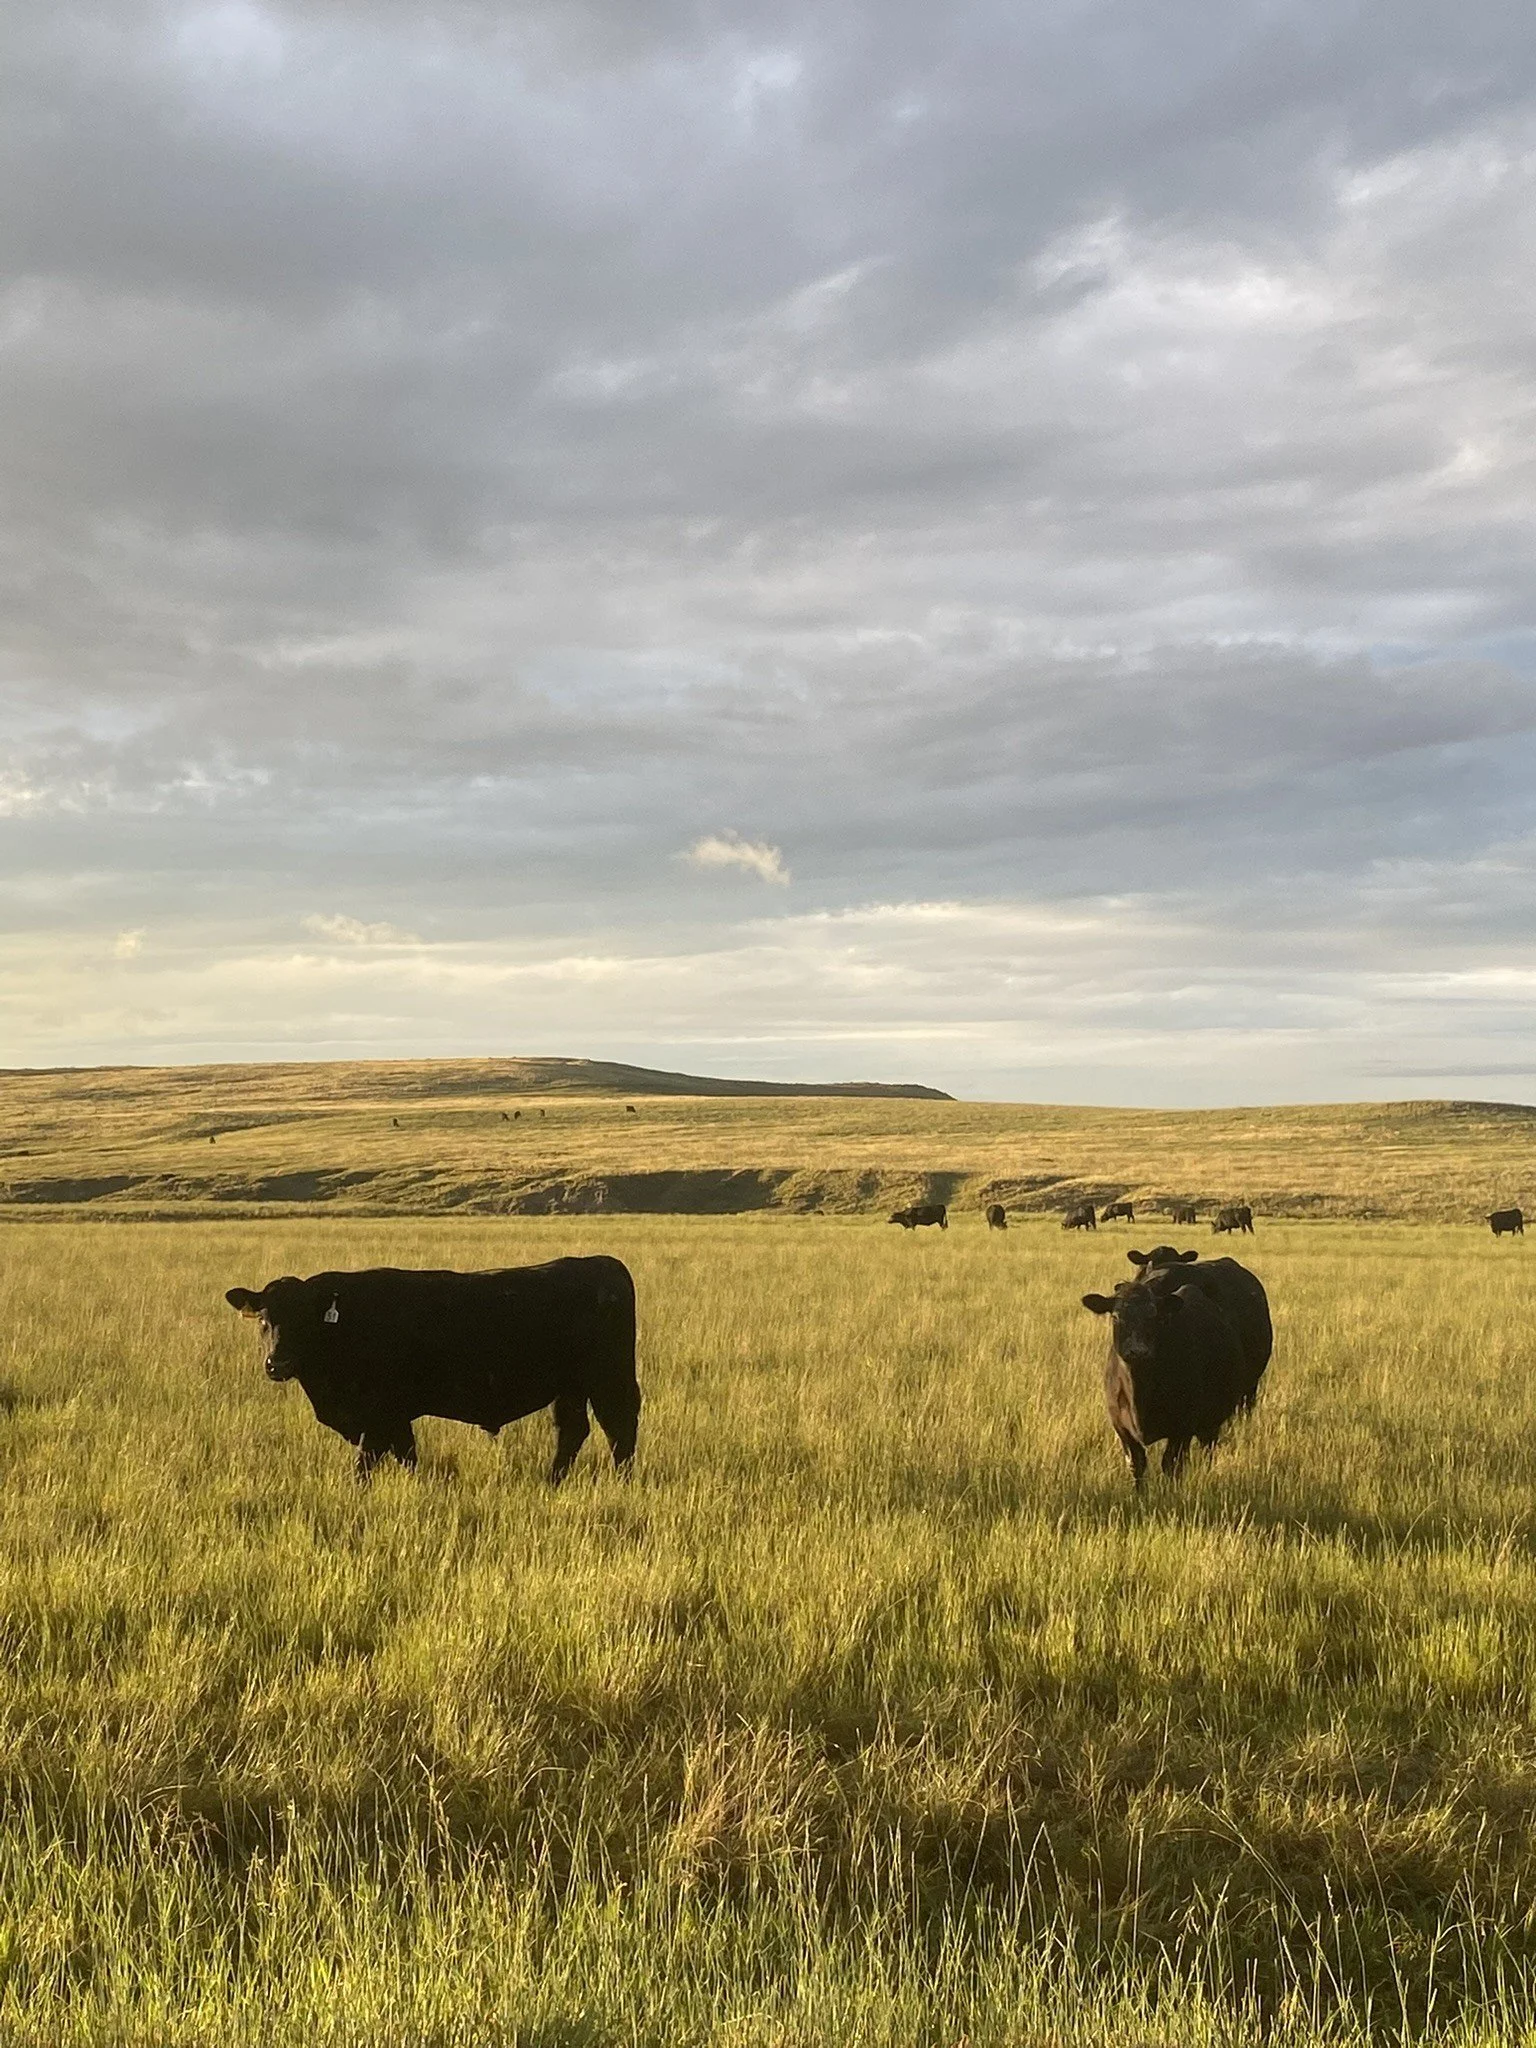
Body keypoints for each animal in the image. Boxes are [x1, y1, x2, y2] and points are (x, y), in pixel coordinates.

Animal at [225, 1256, 640, 1484]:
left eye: (303, 1319)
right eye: (264, 1319)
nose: (277, 1363)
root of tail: (603, 1263)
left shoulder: (379, 1415)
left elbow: (365, 1464)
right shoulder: (394, 1419)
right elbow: (407, 1457)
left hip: (609, 1380)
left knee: (620, 1431)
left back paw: (622, 1483)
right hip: (570, 1388)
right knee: (573, 1432)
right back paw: (551, 1482)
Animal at [1081, 1278, 1246, 1484]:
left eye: (1153, 1316)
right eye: (1116, 1317)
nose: (1137, 1351)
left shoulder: (1182, 1427)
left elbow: (1171, 1464)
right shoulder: (1121, 1427)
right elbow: (1136, 1465)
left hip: (1211, 1422)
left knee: (1207, 1450)